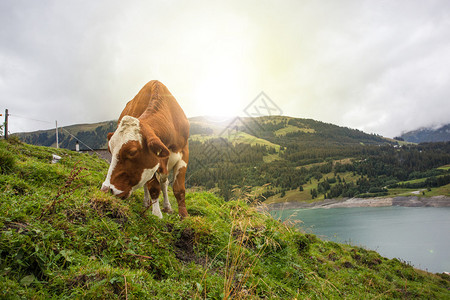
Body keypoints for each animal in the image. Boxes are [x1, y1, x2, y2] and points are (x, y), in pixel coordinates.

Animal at [102, 81, 190, 219]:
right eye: (110, 151)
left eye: (132, 152)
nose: (106, 189)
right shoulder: (152, 161)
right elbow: (153, 187)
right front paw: (157, 214)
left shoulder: (184, 152)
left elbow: (178, 188)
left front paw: (184, 216)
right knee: (148, 184)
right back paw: (147, 202)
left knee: (164, 182)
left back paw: (167, 207)